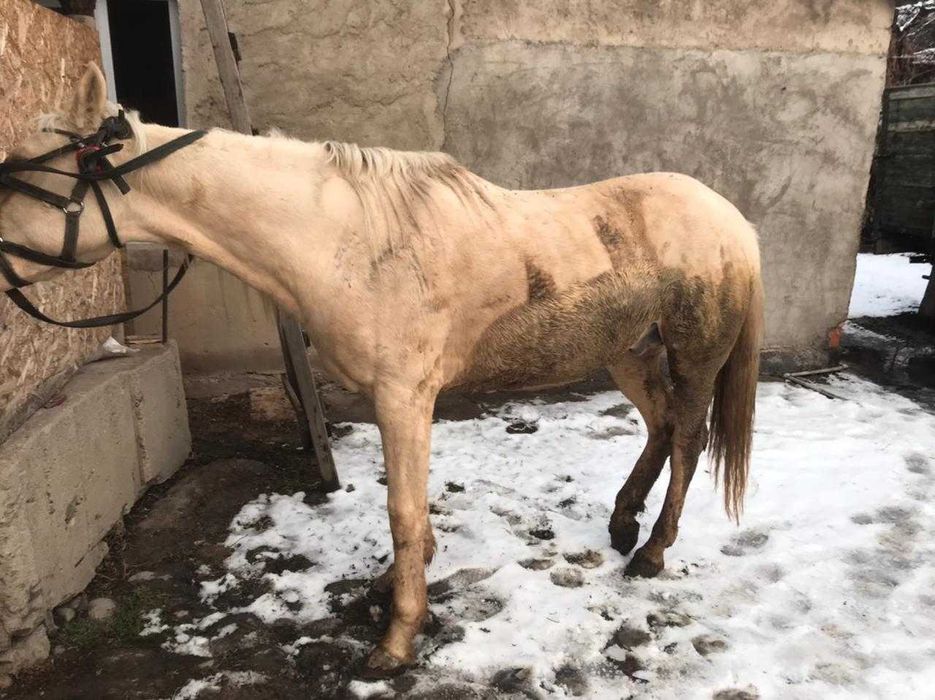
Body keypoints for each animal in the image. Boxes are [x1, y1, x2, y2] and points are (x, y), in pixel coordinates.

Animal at [0, 64, 763, 676]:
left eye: (31, 178)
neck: (344, 238)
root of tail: (733, 222)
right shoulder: (389, 398)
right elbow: (406, 506)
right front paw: (399, 582)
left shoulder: (403, 397)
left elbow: (400, 508)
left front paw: (397, 638)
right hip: (626, 351)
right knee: (659, 428)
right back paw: (623, 522)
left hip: (693, 356)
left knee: (687, 439)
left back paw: (651, 552)